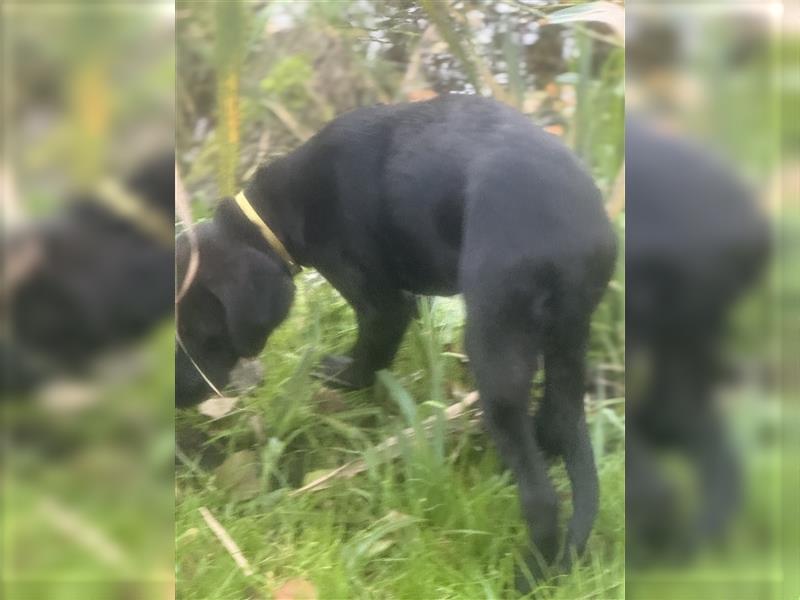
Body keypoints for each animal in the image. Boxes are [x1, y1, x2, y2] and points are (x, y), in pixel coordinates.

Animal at [173, 96, 612, 584]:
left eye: (196, 332)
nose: (178, 396)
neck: (283, 207)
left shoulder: (378, 301)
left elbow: (371, 353)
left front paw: (341, 378)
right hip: (567, 338)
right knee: (556, 423)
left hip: (496, 344)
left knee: (541, 496)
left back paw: (531, 573)